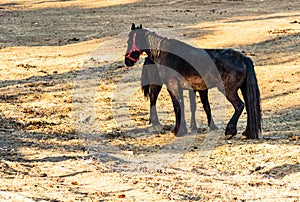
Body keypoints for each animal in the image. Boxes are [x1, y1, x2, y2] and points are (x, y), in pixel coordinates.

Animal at [125, 22, 262, 138]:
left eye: (129, 41)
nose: (127, 62)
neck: (164, 54)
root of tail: (243, 58)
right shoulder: (180, 88)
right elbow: (182, 106)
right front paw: (183, 129)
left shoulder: (172, 86)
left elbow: (177, 106)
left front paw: (177, 131)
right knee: (248, 107)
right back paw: (246, 132)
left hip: (228, 91)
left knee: (239, 106)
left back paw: (230, 131)